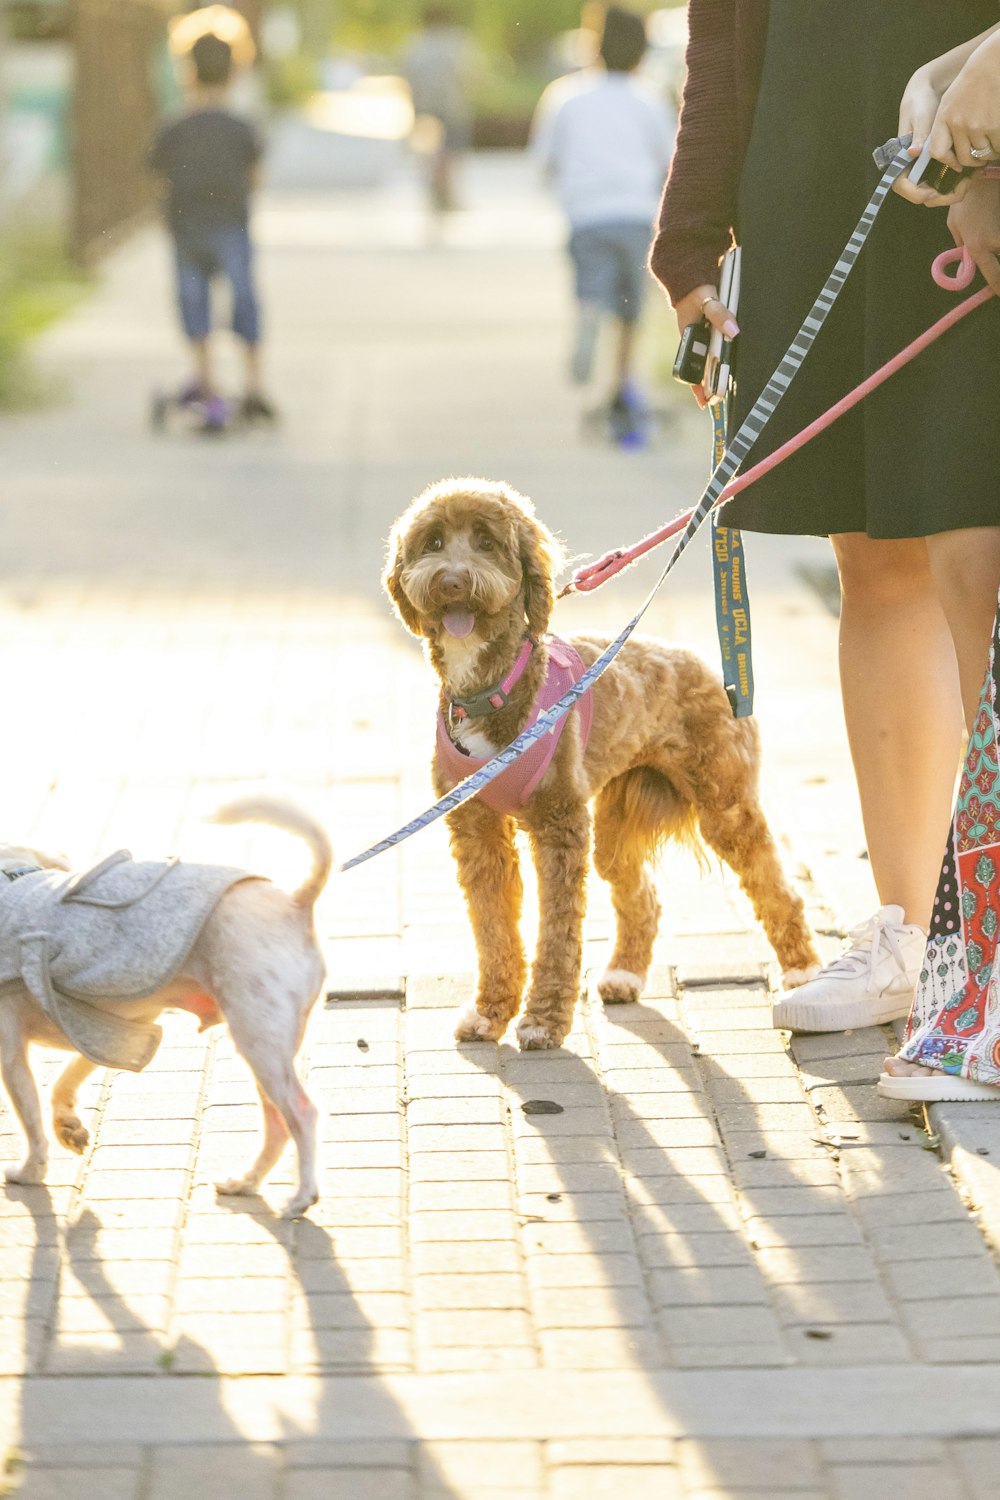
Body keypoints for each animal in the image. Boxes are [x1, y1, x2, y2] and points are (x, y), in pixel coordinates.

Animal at [0, 798, 334, 1218]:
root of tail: (295, 904)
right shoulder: (110, 1029)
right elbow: (65, 1081)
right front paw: (68, 1126)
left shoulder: (14, 1053)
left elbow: (30, 1119)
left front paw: (31, 1170)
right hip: (265, 1046)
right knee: (277, 1124)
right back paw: (246, 1182)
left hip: (260, 1041)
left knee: (302, 1114)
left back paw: (302, 1195)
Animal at [386, 474, 821, 1050]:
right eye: (433, 542)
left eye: (486, 542)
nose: (453, 581)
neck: (494, 687)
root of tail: (706, 664)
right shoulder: (476, 830)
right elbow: (493, 929)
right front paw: (489, 1012)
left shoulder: (560, 827)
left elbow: (558, 933)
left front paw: (543, 1020)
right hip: (614, 831)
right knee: (643, 897)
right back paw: (624, 974)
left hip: (725, 805)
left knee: (775, 885)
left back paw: (803, 972)